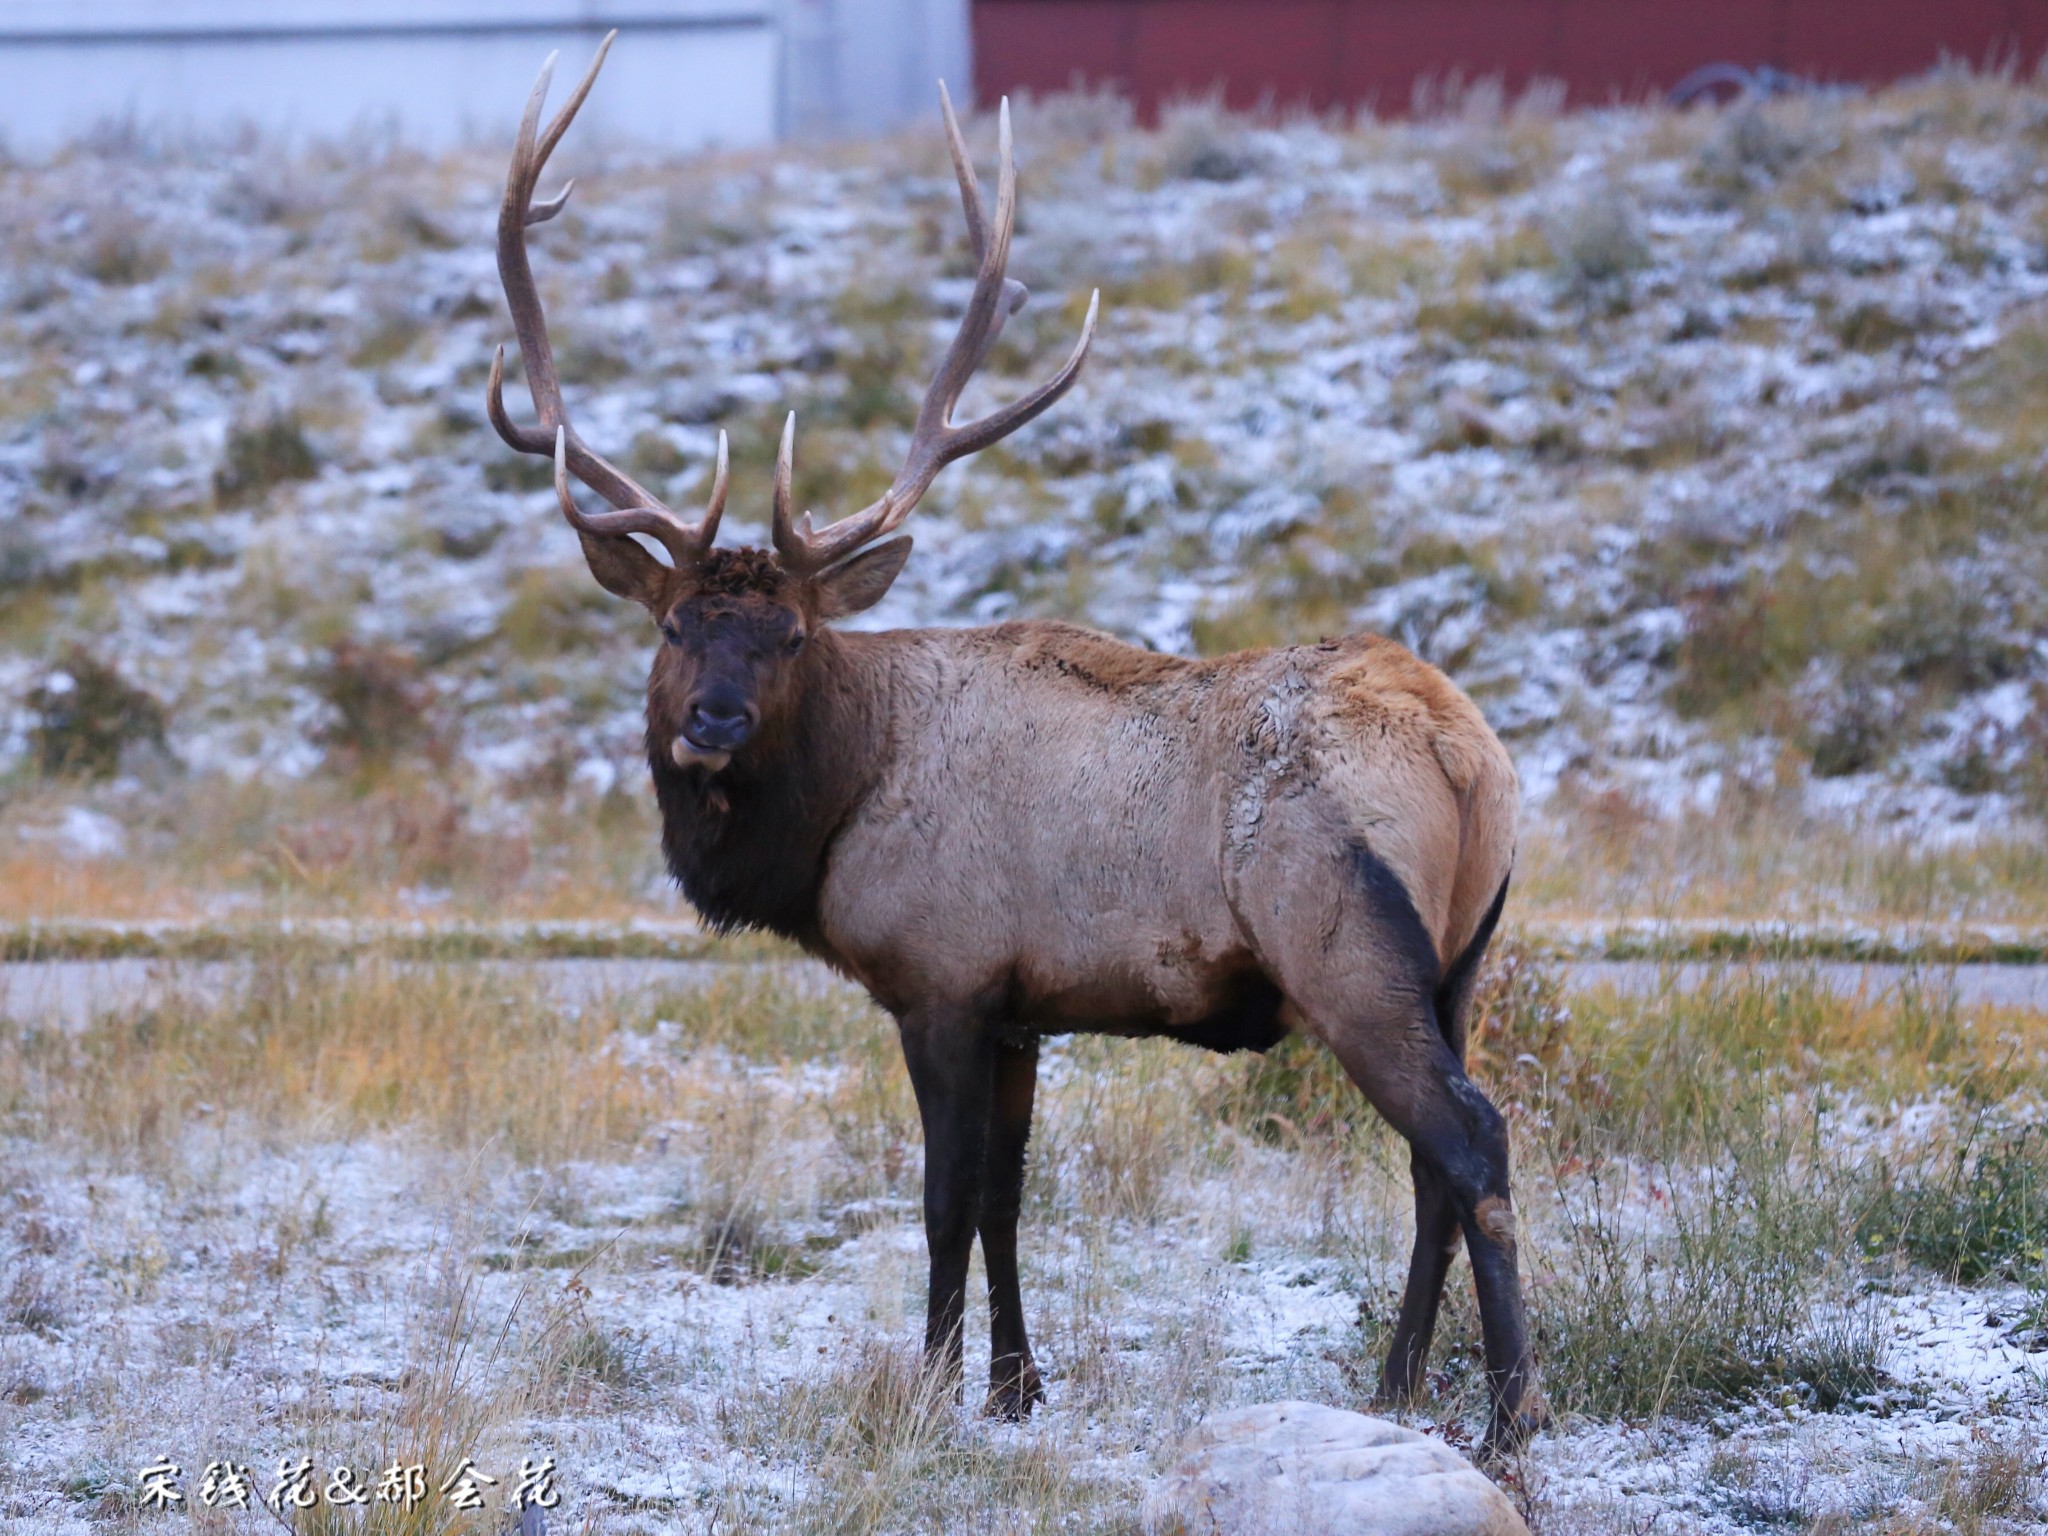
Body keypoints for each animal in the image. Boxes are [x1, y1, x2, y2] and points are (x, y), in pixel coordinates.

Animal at [495, 33, 1540, 1458]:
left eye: (788, 635)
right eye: (674, 626)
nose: (710, 724)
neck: (830, 823)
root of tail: (1471, 758)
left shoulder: (938, 979)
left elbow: (942, 1199)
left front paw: (930, 1391)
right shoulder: (1019, 1007)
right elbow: (1006, 1195)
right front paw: (1012, 1383)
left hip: (1346, 949)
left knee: (1469, 1139)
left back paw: (1507, 1411)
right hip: (1459, 967)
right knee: (1436, 1157)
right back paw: (1393, 1389)